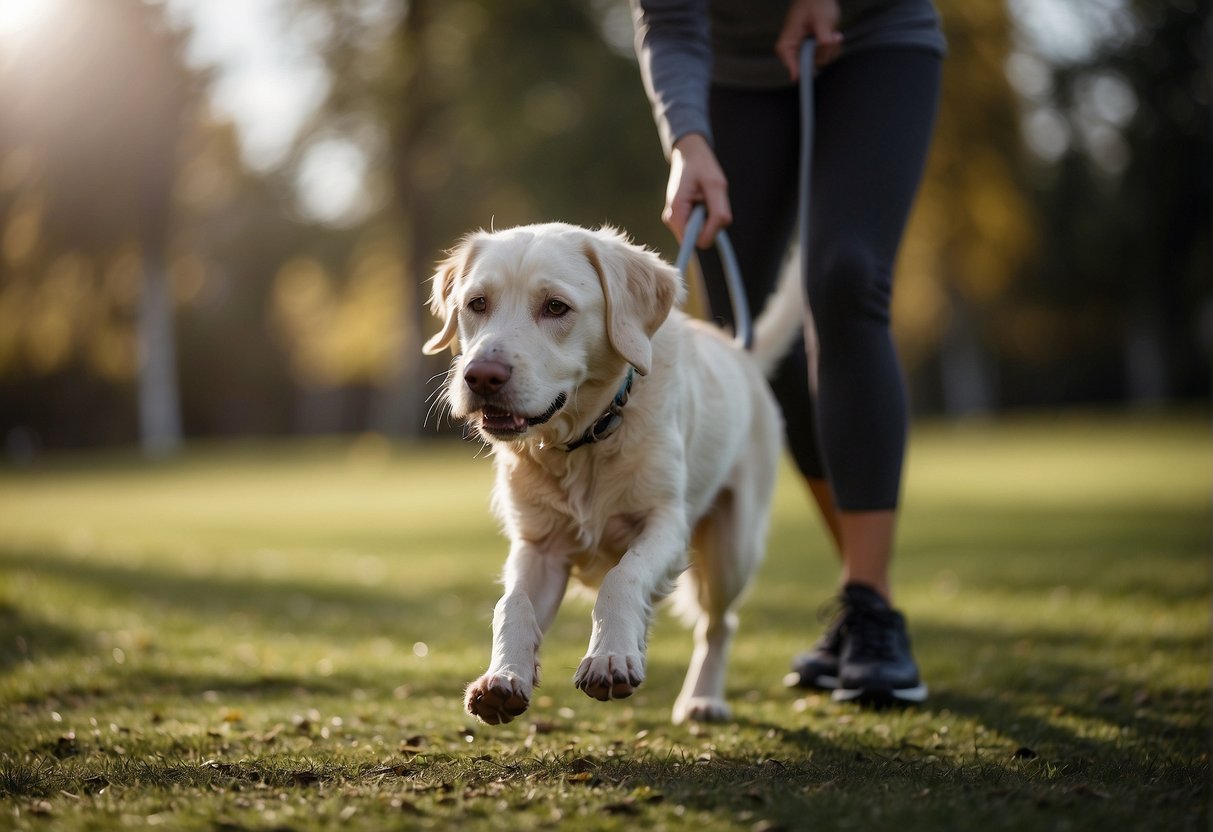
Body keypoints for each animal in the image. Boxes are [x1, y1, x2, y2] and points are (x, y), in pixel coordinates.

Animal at [422, 224, 800, 727]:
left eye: (556, 307)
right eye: (477, 303)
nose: (481, 376)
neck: (586, 440)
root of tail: (742, 354)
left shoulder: (665, 522)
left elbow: (623, 577)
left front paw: (609, 658)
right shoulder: (538, 545)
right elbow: (511, 604)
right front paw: (503, 676)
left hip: (731, 550)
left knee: (718, 624)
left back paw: (702, 698)